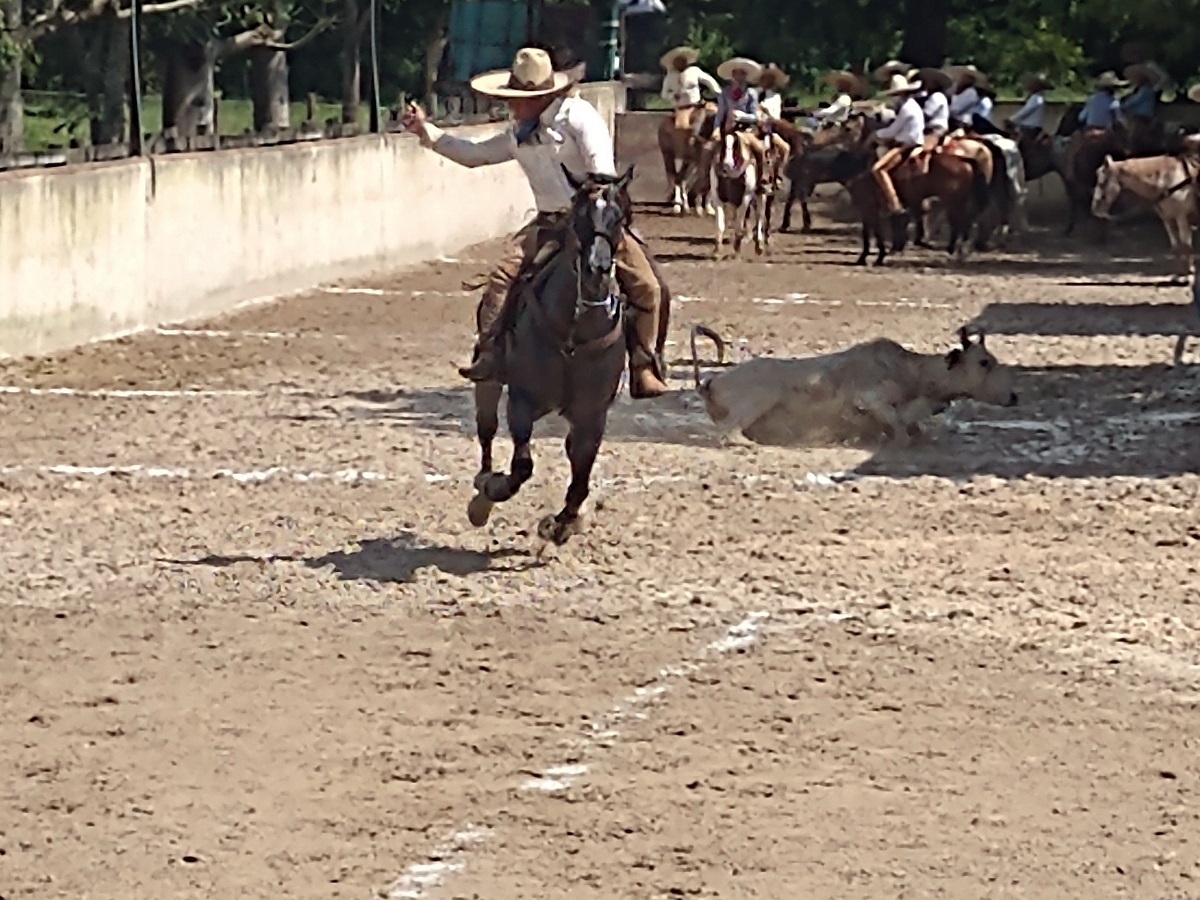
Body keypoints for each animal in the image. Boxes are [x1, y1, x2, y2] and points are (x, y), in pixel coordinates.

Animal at [470, 169, 648, 549]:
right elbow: (522, 466)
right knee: (486, 430)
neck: (573, 334)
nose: (598, 268)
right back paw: (481, 493)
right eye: (578, 217)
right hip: (488, 380)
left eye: (618, 218)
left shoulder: (592, 416)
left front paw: (563, 523)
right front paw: (495, 490)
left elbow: (581, 473)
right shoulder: (522, 401)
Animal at [1094, 153, 1195, 282]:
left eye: (1102, 183)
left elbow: (1186, 246)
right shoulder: (1168, 220)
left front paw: (1187, 275)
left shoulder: (1181, 217)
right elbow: (1176, 247)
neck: (1169, 181)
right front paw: (1179, 274)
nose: (1094, 209)